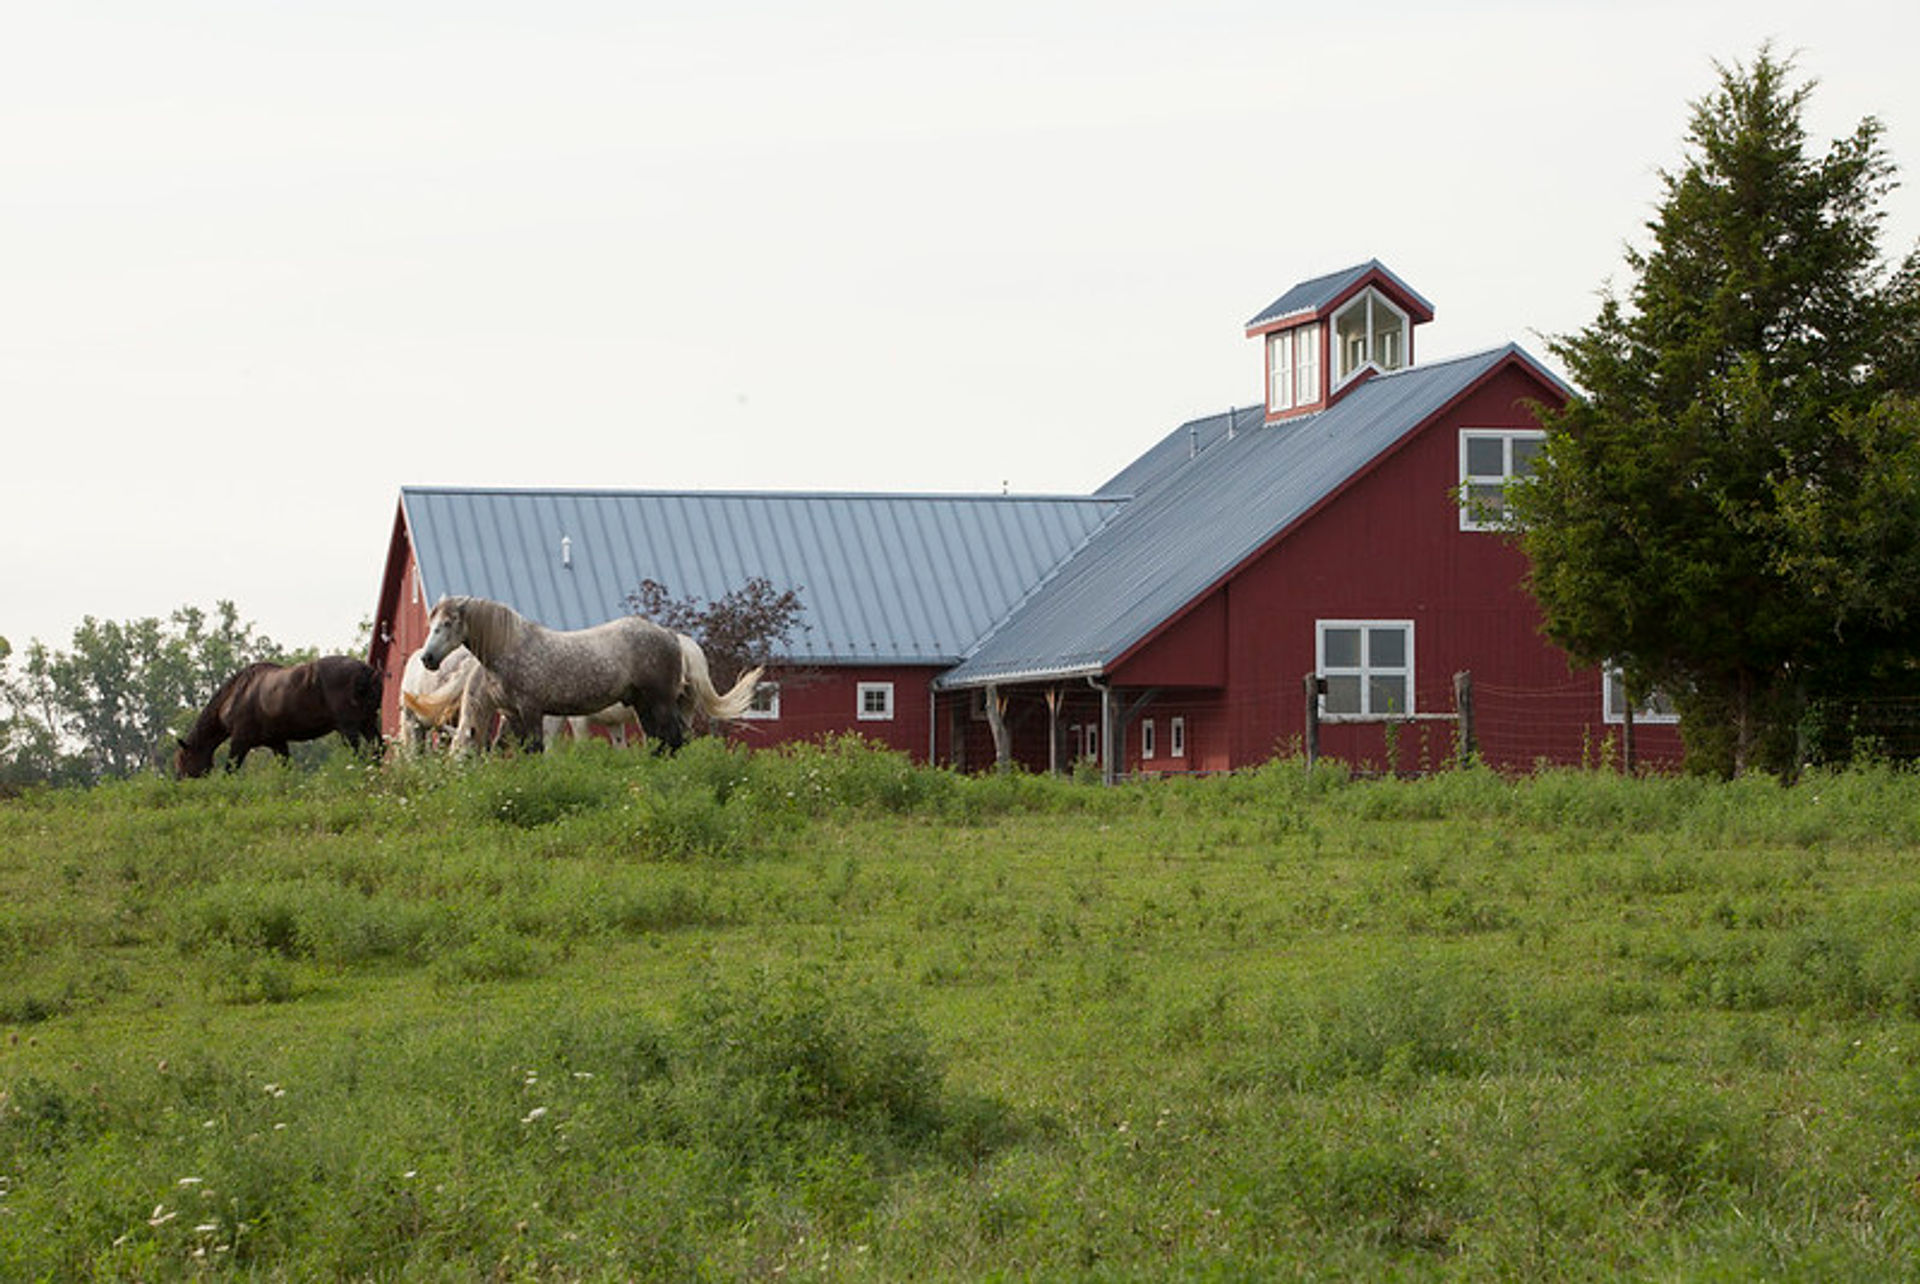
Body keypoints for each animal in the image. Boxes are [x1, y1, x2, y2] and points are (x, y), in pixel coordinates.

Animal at [179, 656, 385, 775]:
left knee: (360, 754)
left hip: (348, 728)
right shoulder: (277, 742)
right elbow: (286, 769)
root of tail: (368, 671)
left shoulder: (240, 741)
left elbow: (230, 769)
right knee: (378, 749)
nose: (180, 781)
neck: (237, 694)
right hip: (367, 722)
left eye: (182, 759)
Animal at [416, 594, 760, 756]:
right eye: (432, 623)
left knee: (671, 741)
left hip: (660, 703)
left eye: (448, 623)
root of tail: (672, 636)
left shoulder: (532, 710)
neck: (510, 646)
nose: (428, 658)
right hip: (644, 706)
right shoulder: (511, 713)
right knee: (660, 741)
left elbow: (535, 749)